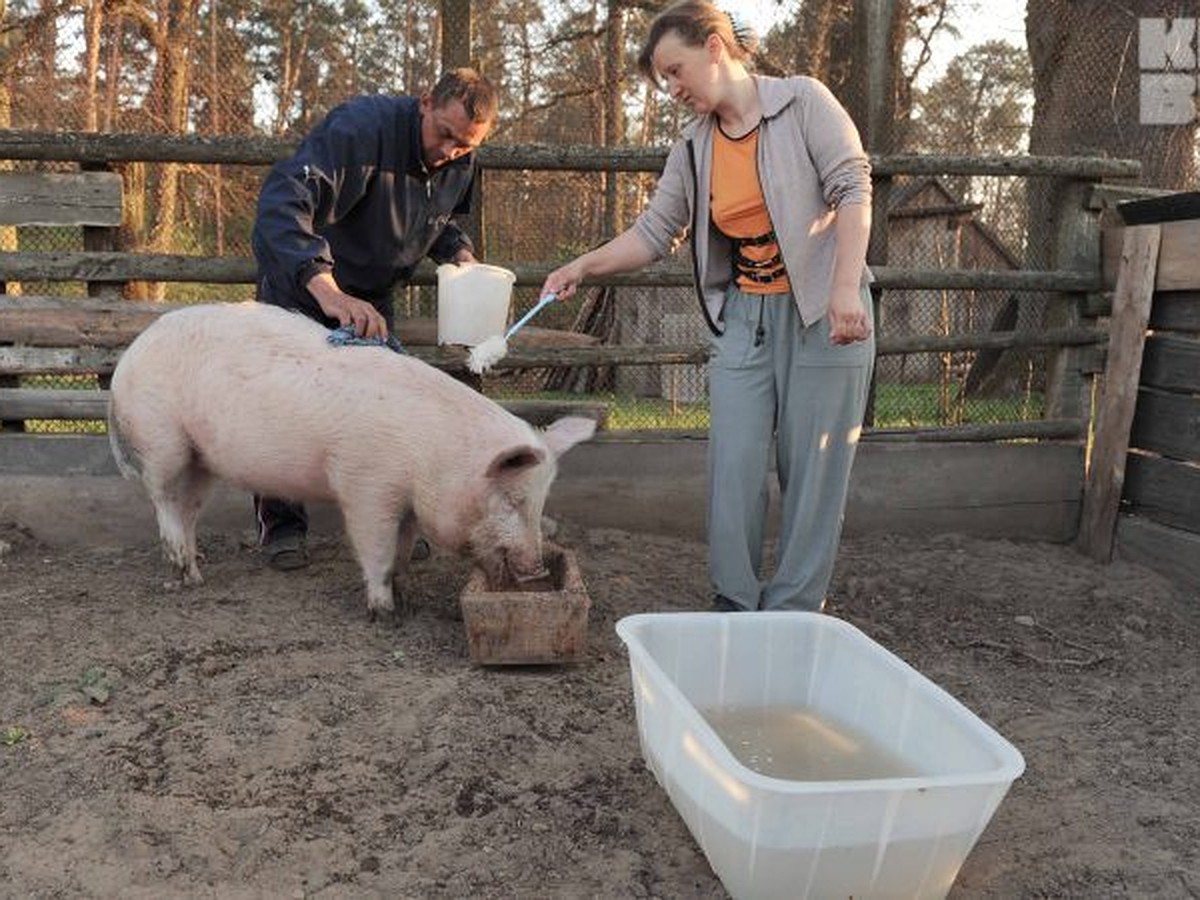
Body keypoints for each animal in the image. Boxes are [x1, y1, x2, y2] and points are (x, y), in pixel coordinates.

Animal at [110, 303, 597, 619]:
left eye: (541, 502)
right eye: (512, 500)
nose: (537, 569)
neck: (431, 454)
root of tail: (128, 357)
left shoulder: (408, 502)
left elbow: (403, 549)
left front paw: (407, 595)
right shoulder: (366, 485)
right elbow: (375, 548)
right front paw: (384, 613)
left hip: (202, 458)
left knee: (189, 510)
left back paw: (195, 574)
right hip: (161, 440)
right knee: (164, 502)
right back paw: (179, 572)